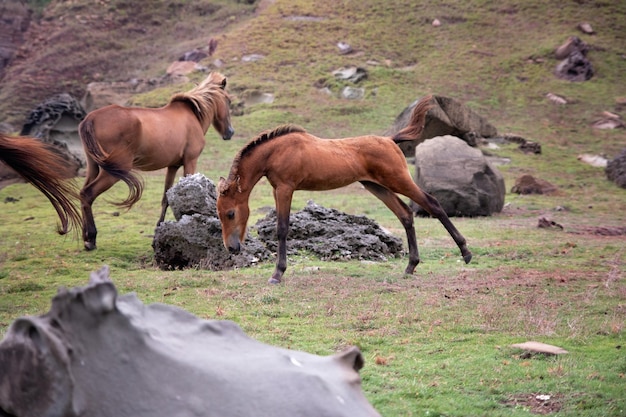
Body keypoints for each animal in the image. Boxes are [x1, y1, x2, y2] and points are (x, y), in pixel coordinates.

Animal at [77, 70, 233, 250]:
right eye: (228, 100)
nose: (230, 132)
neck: (193, 115)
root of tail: (91, 118)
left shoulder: (172, 166)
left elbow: (166, 198)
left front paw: (159, 228)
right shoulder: (190, 162)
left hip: (93, 167)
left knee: (82, 194)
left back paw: (85, 237)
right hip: (114, 171)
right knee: (88, 194)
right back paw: (91, 238)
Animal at [217, 94, 470, 282]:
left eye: (230, 213)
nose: (231, 248)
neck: (276, 152)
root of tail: (391, 140)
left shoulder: (285, 188)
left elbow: (282, 228)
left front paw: (277, 274)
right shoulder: (277, 189)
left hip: (398, 180)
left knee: (432, 203)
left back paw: (465, 252)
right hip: (376, 186)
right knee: (405, 214)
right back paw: (410, 266)